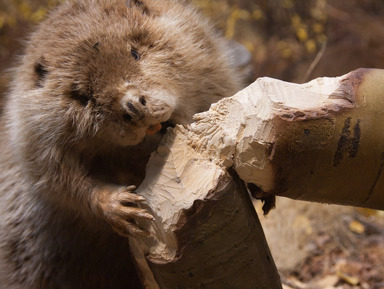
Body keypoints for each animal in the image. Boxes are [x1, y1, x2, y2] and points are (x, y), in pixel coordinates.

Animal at [0, 1, 246, 286]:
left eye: (135, 52)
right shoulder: (31, 131)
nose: (133, 107)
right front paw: (122, 207)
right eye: (83, 95)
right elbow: (56, 179)